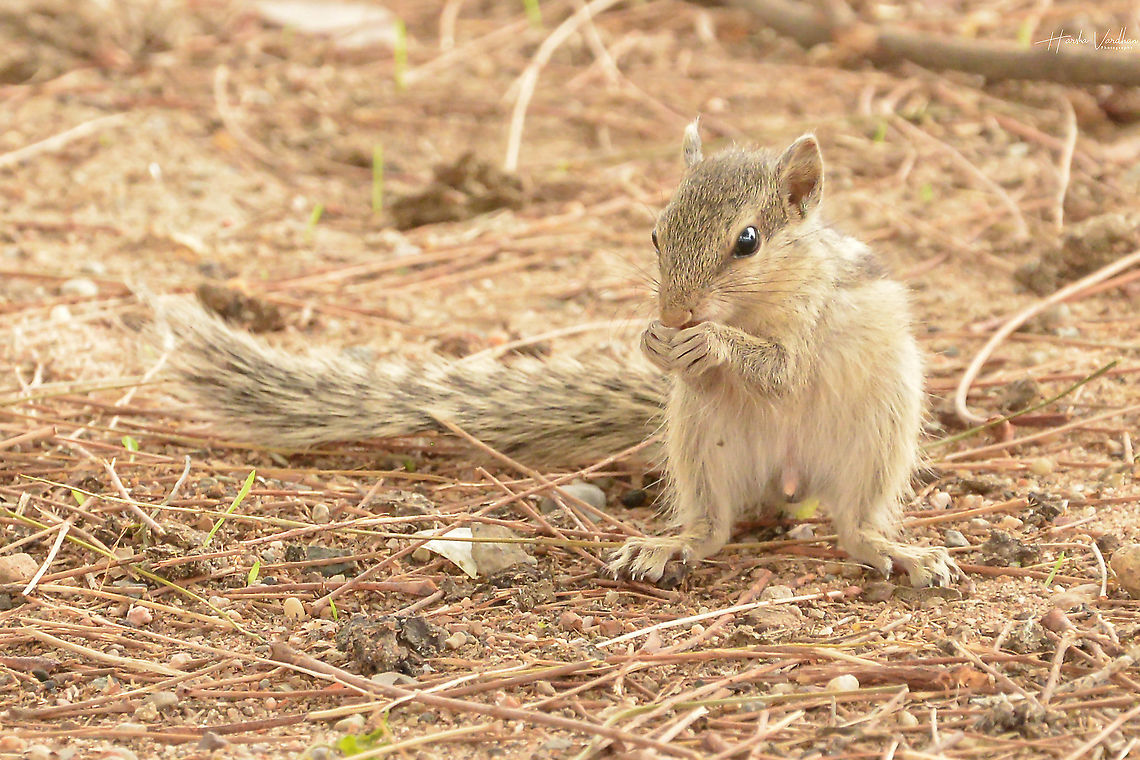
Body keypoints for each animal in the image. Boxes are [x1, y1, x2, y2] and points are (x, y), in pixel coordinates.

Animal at [155, 121, 960, 588]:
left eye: (748, 241)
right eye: (656, 232)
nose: (674, 314)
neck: (759, 301)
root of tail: (790, 484)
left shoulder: (813, 320)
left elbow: (781, 369)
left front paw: (708, 342)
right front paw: (655, 342)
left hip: (877, 441)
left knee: (855, 525)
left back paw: (901, 553)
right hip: (702, 441)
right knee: (714, 528)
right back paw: (666, 548)